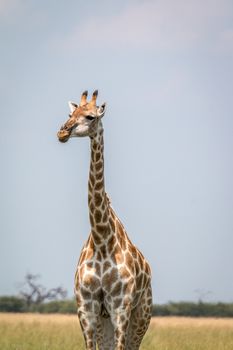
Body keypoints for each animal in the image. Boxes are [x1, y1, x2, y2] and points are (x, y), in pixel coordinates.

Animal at [57, 91, 152, 350]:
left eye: (90, 116)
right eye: (70, 113)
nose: (62, 132)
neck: (101, 239)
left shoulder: (120, 307)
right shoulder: (86, 309)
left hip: (141, 314)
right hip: (104, 320)